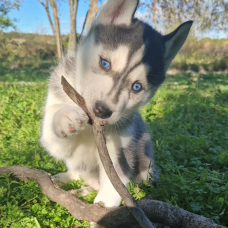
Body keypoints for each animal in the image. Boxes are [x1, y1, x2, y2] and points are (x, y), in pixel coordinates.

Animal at [40, 0, 191, 210]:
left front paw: (102, 212)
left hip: (146, 166)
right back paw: (64, 179)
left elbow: (113, 184)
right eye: (105, 63)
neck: (91, 128)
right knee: (78, 172)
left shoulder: (121, 150)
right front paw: (65, 117)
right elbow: (54, 134)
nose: (101, 111)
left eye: (137, 87)